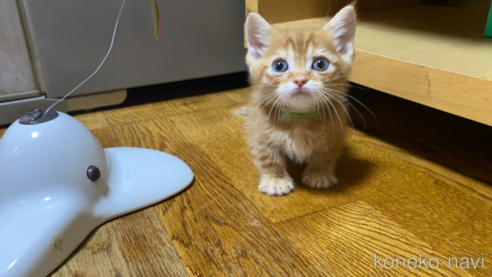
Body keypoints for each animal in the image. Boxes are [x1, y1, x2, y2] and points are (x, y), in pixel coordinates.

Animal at [244, 4, 356, 194]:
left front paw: (319, 174)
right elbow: (268, 156)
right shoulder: (258, 131)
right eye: (279, 66)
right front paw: (275, 179)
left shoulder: (336, 131)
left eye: (321, 64)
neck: (299, 119)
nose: (300, 80)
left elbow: (326, 154)